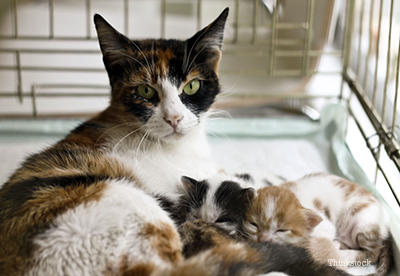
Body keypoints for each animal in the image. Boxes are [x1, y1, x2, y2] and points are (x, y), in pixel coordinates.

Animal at [242, 174, 392, 274]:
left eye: (281, 230)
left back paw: (344, 255)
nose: (263, 239)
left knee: (373, 252)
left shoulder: (326, 226)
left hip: (363, 221)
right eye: (254, 224)